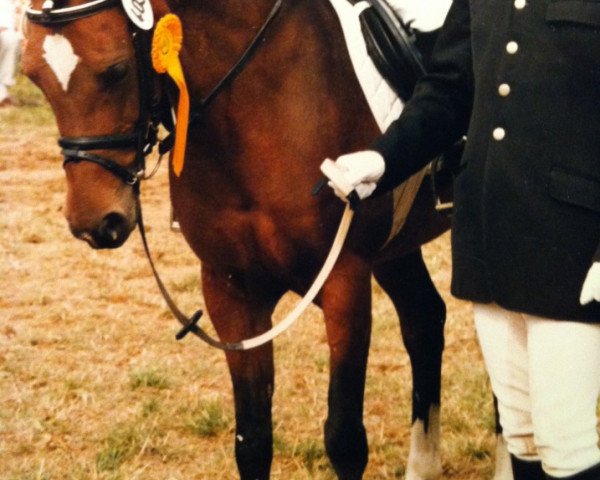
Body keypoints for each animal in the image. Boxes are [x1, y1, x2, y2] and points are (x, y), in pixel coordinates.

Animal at [22, 0, 454, 480]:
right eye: (33, 74)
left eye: (115, 70)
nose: (94, 222)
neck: (259, 103)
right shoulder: (229, 289)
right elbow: (252, 441)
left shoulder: (345, 279)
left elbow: (344, 440)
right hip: (395, 252)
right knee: (424, 321)